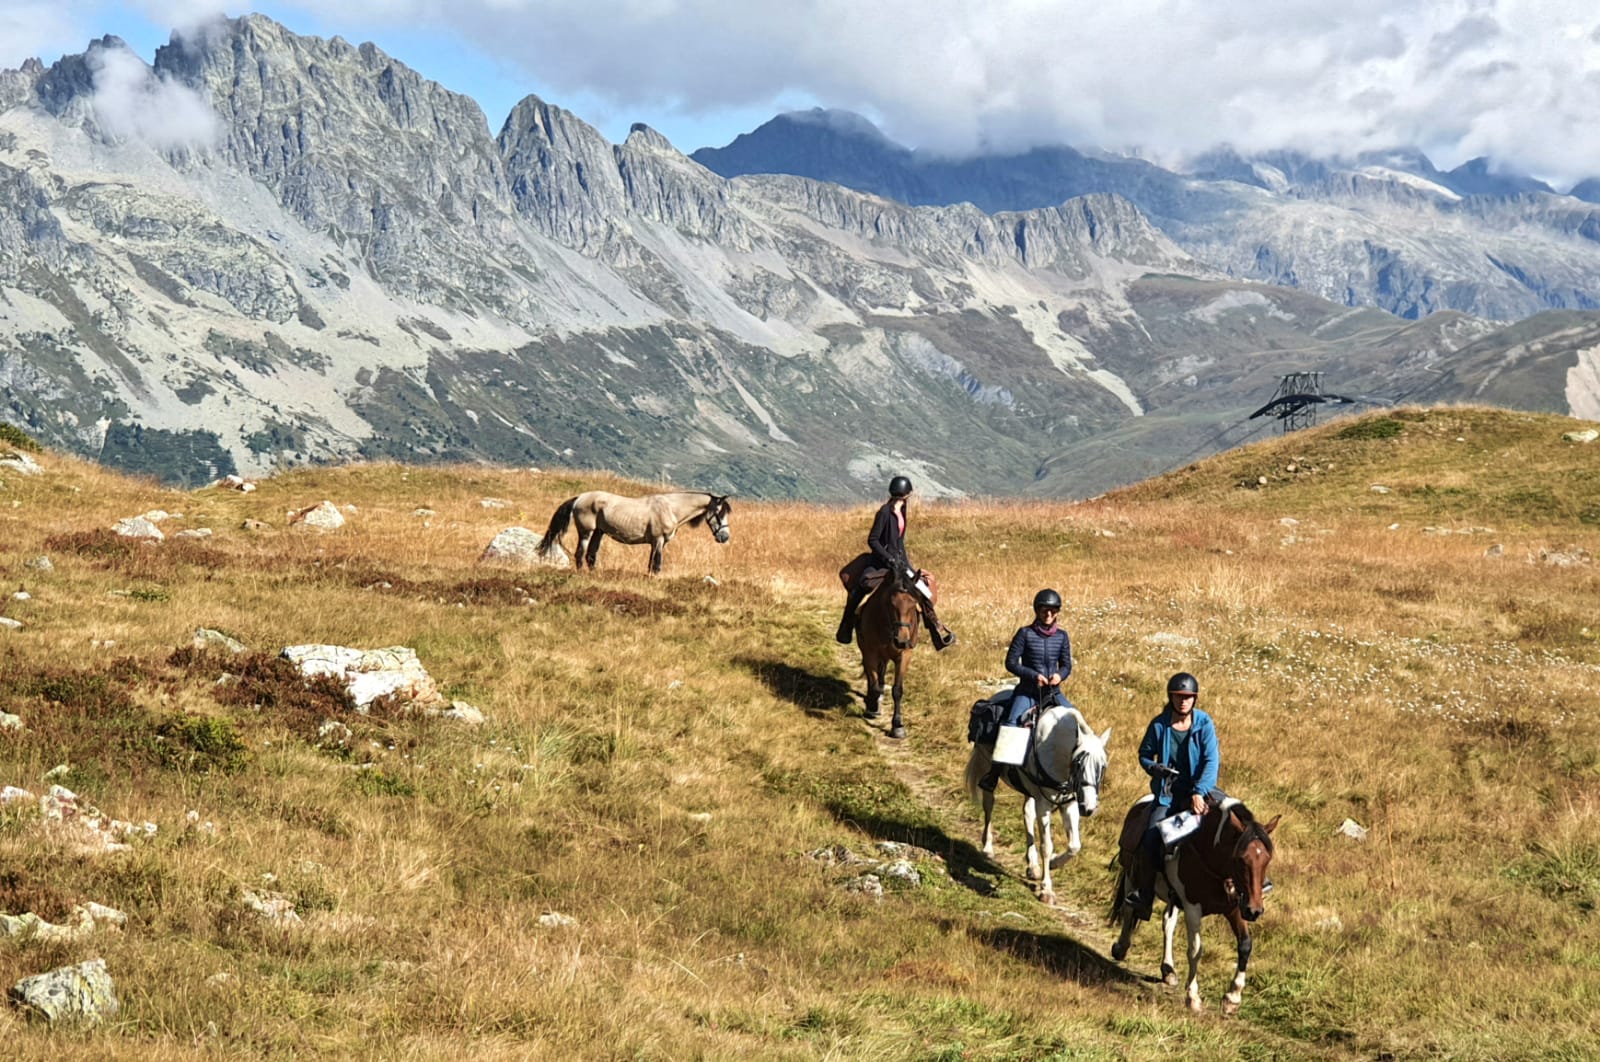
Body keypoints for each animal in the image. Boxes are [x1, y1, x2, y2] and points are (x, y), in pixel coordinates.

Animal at [536, 491, 731, 573]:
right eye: (719, 513)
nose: (724, 537)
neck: (670, 508)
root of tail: (579, 498)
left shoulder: (656, 543)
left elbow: (651, 564)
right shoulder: (658, 541)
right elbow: (657, 565)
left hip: (599, 532)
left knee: (591, 555)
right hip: (587, 531)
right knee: (580, 553)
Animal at [856, 566, 921, 739]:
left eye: (914, 603)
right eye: (891, 604)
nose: (902, 640)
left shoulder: (904, 655)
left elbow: (897, 690)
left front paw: (897, 726)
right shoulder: (870, 653)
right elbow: (874, 685)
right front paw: (872, 707)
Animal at [963, 700, 1111, 905]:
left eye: (1102, 766)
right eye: (1078, 764)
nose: (1089, 808)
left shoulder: (1069, 805)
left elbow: (1074, 846)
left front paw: (1055, 863)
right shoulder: (1044, 806)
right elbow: (1047, 846)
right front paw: (1047, 890)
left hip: (1029, 792)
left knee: (1027, 814)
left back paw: (1032, 866)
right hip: (987, 767)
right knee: (989, 805)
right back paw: (988, 848)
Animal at [1108, 796, 1280, 1013]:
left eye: (1267, 859)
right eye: (1241, 859)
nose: (1254, 911)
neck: (1210, 858)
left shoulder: (1235, 908)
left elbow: (1245, 945)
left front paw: (1233, 997)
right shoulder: (1192, 908)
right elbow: (1196, 950)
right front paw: (1193, 997)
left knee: (1168, 923)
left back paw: (1168, 969)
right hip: (1132, 875)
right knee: (1130, 909)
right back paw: (1121, 948)